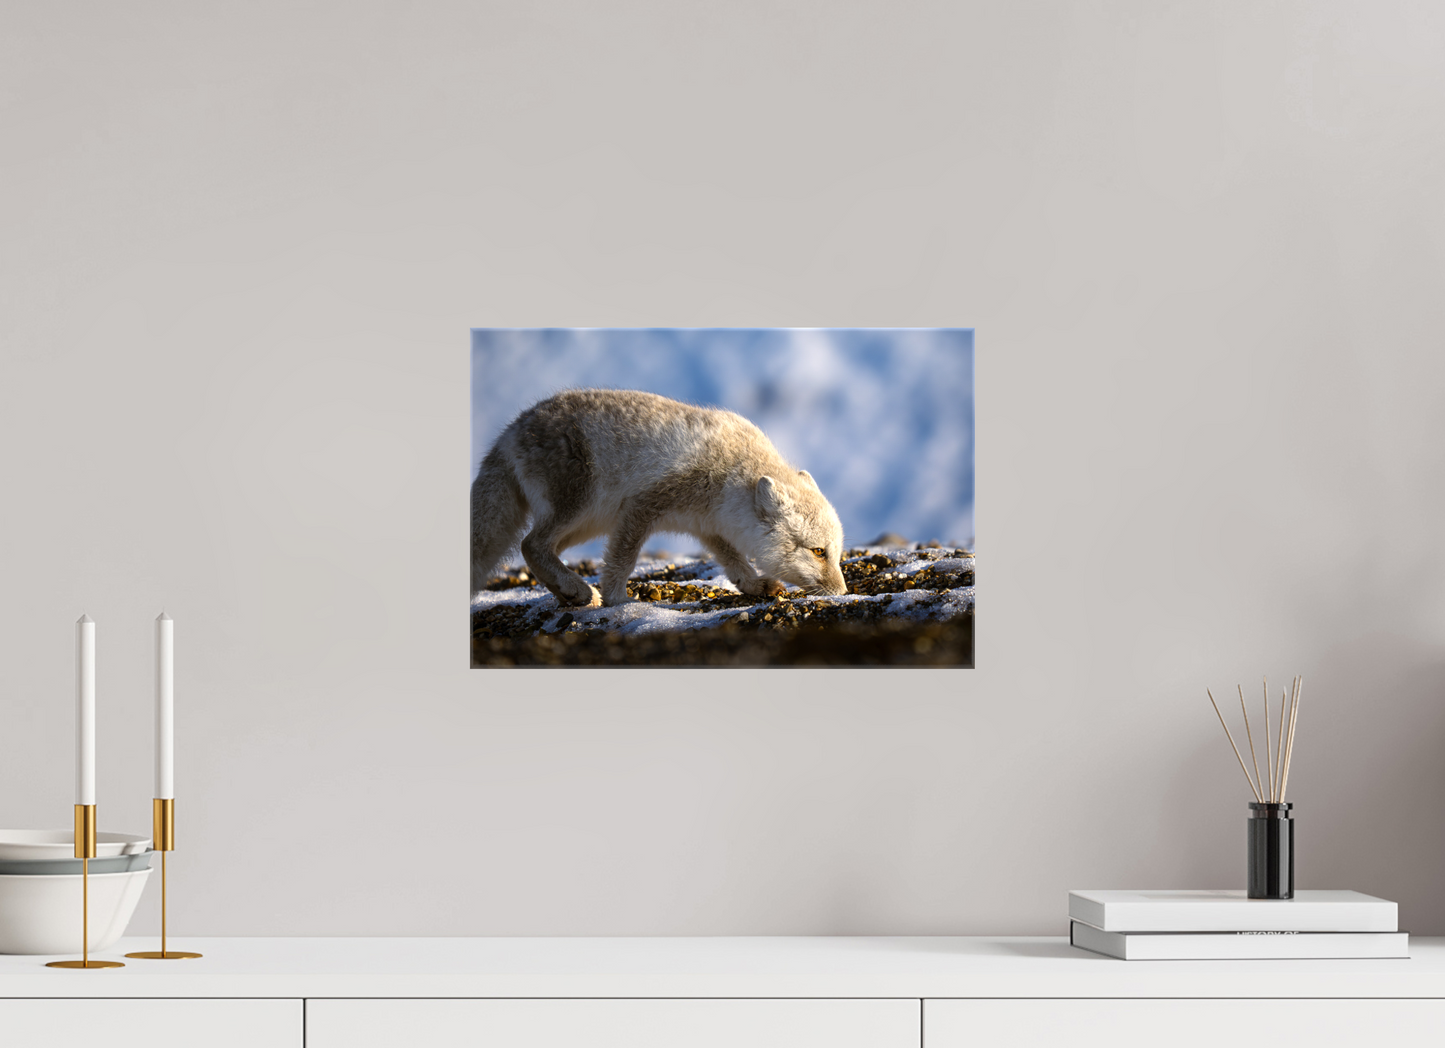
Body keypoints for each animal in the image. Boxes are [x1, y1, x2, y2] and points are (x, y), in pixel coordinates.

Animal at [470, 389, 848, 607]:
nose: (844, 592)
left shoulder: (707, 527)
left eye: (835, 552)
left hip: (586, 524)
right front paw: (617, 601)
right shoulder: (641, 506)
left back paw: (567, 592)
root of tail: (509, 433)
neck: (730, 473)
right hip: (580, 506)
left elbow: (734, 561)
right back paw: (579, 591)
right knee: (531, 545)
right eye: (818, 552)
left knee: (538, 549)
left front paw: (753, 584)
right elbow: (622, 561)